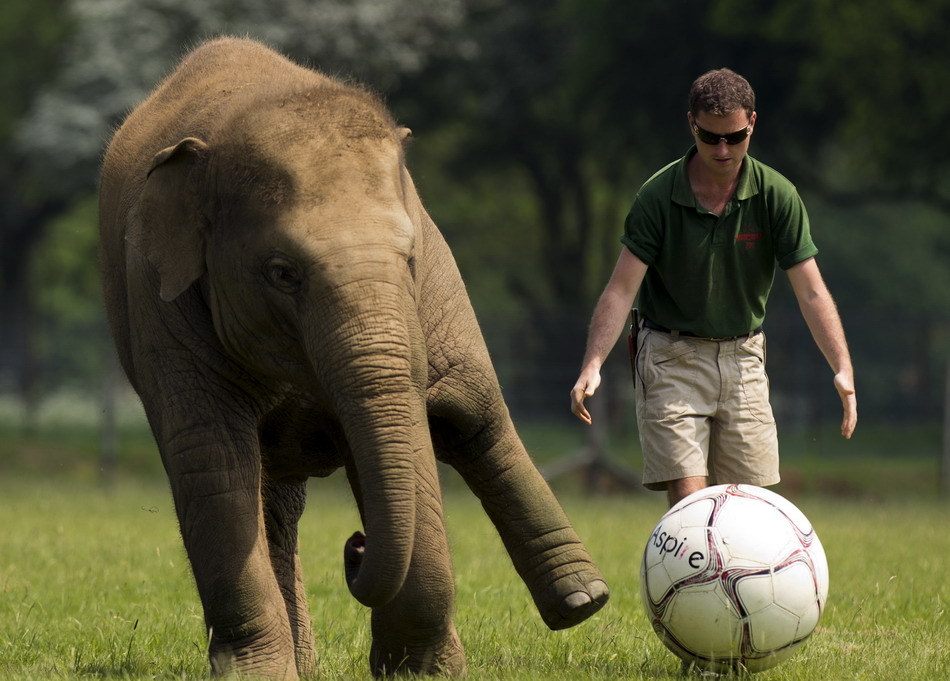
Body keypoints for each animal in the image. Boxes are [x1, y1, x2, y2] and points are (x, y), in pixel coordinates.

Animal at [98, 38, 608, 680]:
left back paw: (583, 600)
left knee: (472, 418)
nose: (355, 545)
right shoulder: (159, 303)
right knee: (277, 495)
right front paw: (259, 675)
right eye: (282, 273)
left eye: (409, 259)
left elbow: (416, 435)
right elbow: (209, 457)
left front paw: (420, 674)